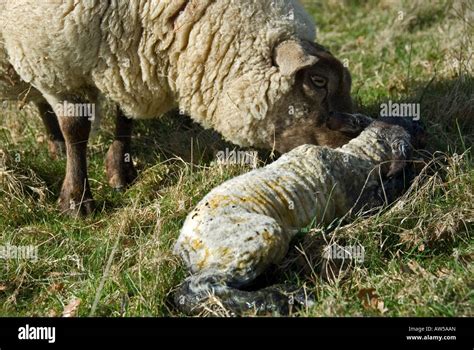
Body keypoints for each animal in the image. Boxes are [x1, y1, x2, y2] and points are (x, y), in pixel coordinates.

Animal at [0, 0, 354, 216]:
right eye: (319, 81)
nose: (355, 130)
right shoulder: (56, 65)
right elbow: (76, 130)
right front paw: (77, 200)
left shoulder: (128, 62)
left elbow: (124, 116)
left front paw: (120, 170)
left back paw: (55, 145)